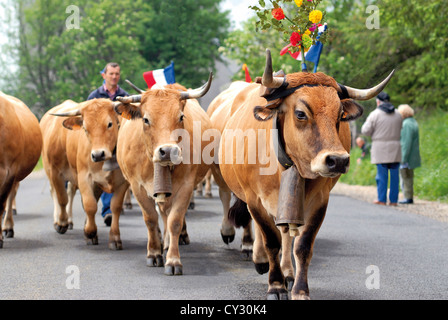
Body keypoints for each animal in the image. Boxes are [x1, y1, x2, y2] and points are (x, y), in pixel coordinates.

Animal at [39, 99, 129, 249]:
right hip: (52, 170)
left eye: (109, 124)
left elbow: (115, 207)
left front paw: (114, 238)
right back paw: (60, 221)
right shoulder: (82, 177)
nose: (98, 154)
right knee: (58, 194)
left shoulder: (122, 182)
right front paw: (89, 232)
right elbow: (87, 204)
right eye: (85, 128)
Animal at [217, 48, 396, 298]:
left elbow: (302, 245)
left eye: (340, 114)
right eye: (301, 113)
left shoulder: (319, 200)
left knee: (285, 233)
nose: (338, 160)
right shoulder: (254, 199)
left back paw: (287, 272)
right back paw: (260, 259)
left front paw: (300, 289)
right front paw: (275, 285)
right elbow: (270, 239)